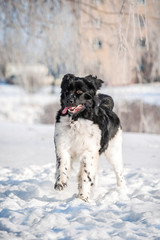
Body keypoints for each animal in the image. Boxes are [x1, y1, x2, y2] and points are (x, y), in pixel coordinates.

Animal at [54, 74, 125, 202]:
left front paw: (83, 198)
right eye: (66, 91)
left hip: (114, 152)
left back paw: (122, 190)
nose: (68, 100)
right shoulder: (62, 146)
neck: (77, 119)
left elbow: (86, 175)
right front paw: (60, 183)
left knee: (119, 173)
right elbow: (63, 166)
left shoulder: (89, 152)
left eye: (79, 92)